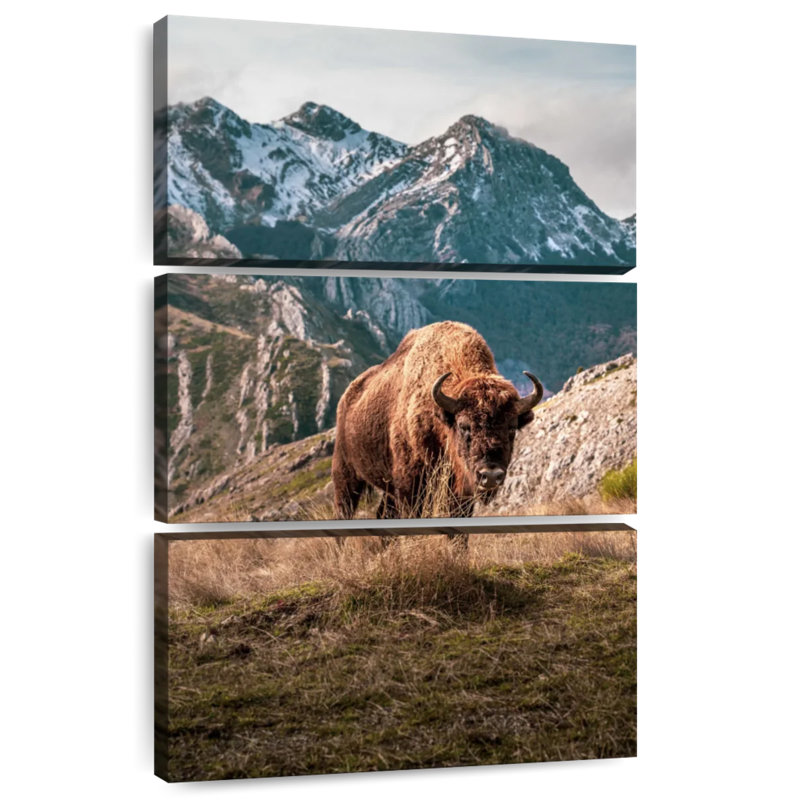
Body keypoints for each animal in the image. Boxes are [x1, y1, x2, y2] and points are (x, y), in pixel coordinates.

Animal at [332, 321, 543, 523]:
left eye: (512, 428)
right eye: (464, 426)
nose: (490, 476)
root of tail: (347, 396)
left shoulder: (461, 494)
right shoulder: (410, 487)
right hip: (346, 473)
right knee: (345, 508)